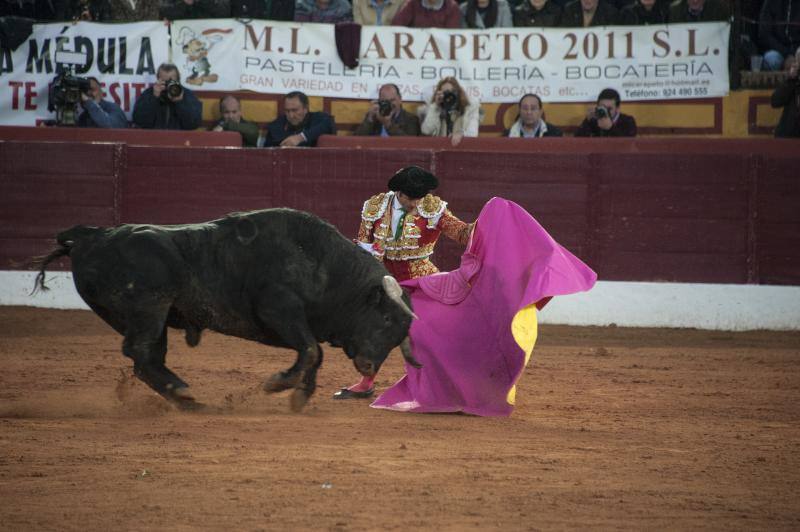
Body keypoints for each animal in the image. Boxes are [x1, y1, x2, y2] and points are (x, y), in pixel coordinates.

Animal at [34, 208, 422, 412]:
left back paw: (184, 398)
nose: (369, 366)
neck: (325, 266)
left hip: (151, 315)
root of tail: (92, 236)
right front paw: (280, 384)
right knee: (140, 352)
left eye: (400, 333)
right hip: (149, 307)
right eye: (386, 318)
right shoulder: (277, 309)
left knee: (147, 358)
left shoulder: (301, 323)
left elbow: (314, 353)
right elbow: (312, 350)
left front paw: (300, 394)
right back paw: (183, 394)